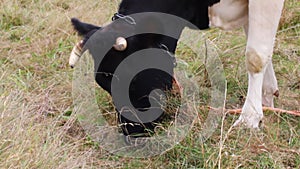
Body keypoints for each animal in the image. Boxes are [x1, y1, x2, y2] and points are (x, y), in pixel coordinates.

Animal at [69, 0, 284, 139]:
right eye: (103, 83)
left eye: (133, 79)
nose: (131, 131)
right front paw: (267, 100)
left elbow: (255, 55)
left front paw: (250, 119)